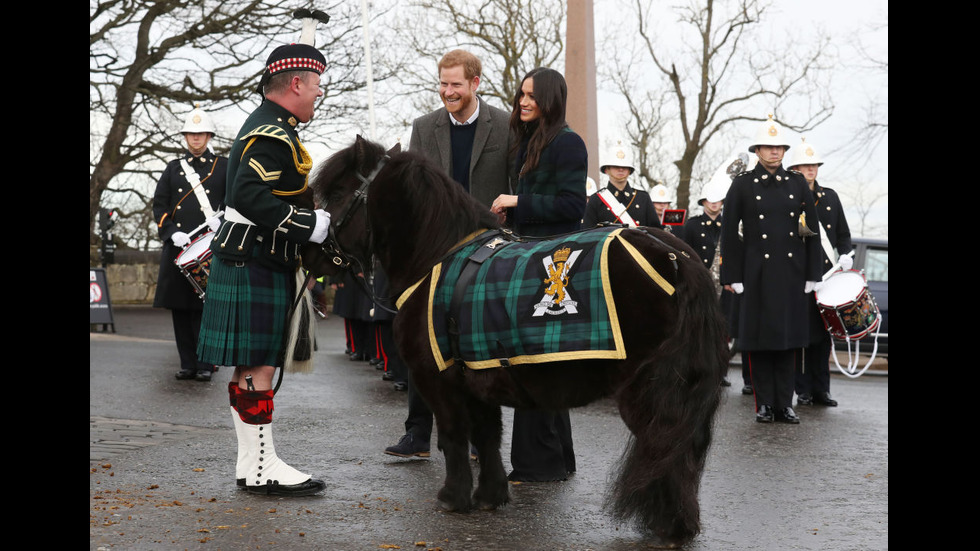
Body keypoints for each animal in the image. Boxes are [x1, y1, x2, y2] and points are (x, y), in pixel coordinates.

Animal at [306, 137, 728, 548]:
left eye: (339, 192)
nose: (313, 253)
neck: (435, 257)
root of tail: (675, 256)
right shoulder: (479, 372)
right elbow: (488, 434)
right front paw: (490, 495)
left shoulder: (437, 378)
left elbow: (455, 434)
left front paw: (453, 497)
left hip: (645, 389)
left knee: (665, 445)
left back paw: (669, 524)